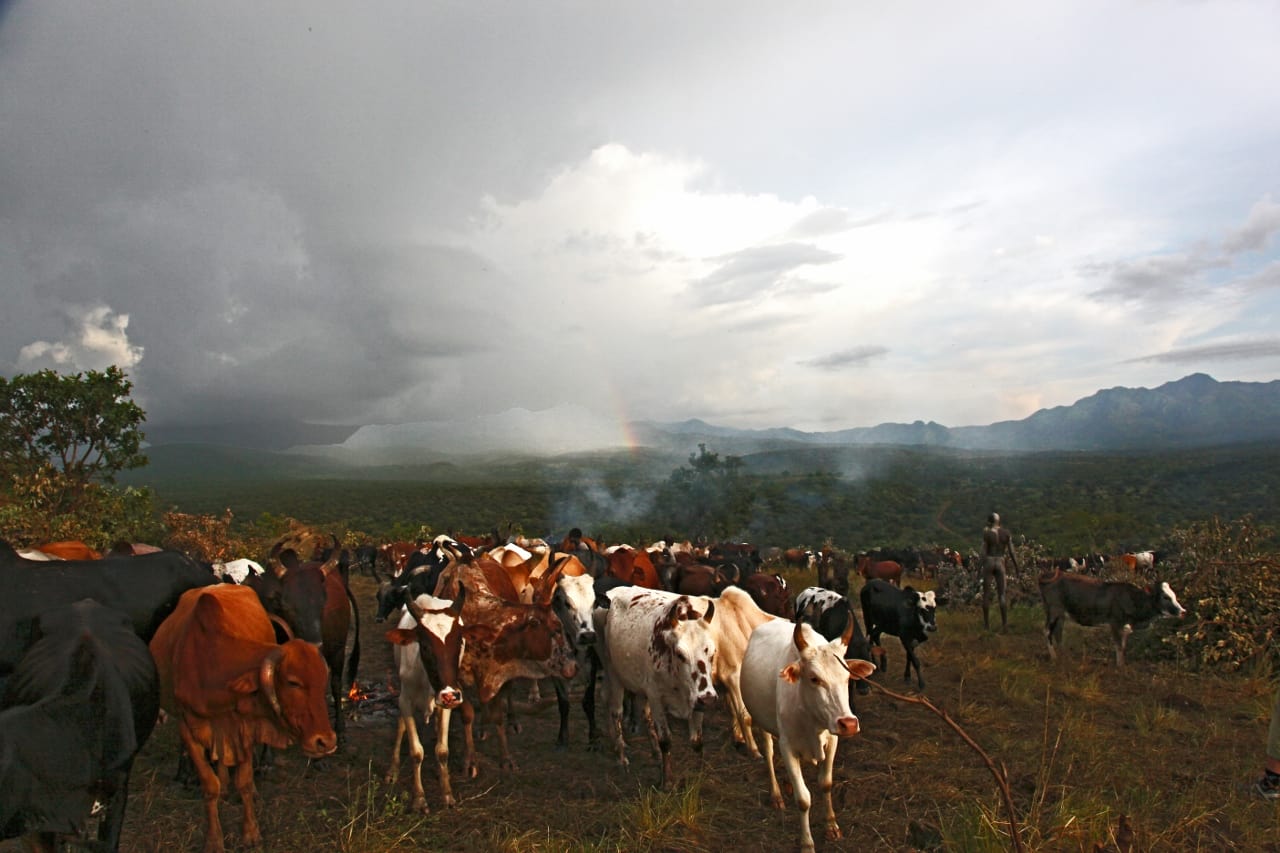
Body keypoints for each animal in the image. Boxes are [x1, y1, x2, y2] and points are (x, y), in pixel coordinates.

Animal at [149, 584, 337, 853]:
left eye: (323, 682)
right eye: (293, 682)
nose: (326, 742)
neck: (210, 663)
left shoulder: (244, 728)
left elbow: (245, 782)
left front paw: (250, 833)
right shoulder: (189, 728)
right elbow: (210, 786)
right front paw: (214, 839)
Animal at [384, 587, 467, 812]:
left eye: (459, 642)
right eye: (425, 646)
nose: (450, 694)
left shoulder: (447, 704)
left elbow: (443, 751)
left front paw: (447, 794)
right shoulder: (405, 701)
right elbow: (416, 751)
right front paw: (419, 798)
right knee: (401, 725)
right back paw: (393, 769)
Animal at [593, 586, 718, 789]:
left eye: (712, 652)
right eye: (680, 654)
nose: (709, 699)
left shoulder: (698, 699)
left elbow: (697, 740)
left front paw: (700, 773)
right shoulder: (657, 697)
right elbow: (665, 740)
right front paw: (666, 781)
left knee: (643, 714)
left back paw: (654, 753)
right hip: (613, 672)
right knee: (615, 711)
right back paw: (622, 757)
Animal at [740, 617, 875, 853]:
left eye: (847, 677)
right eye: (814, 678)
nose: (849, 724)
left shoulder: (832, 740)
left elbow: (826, 783)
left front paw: (831, 826)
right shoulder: (788, 747)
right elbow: (803, 799)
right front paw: (807, 843)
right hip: (761, 720)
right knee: (768, 752)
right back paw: (776, 794)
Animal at [1039, 569, 1185, 667]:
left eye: (1174, 595)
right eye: (1165, 597)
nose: (1182, 611)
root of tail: (1050, 574)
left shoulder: (1125, 626)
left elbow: (1123, 645)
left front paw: (1122, 664)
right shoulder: (1114, 622)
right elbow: (1119, 645)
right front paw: (1119, 666)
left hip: (1060, 613)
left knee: (1058, 632)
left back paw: (1064, 656)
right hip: (1054, 610)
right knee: (1047, 631)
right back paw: (1054, 657)